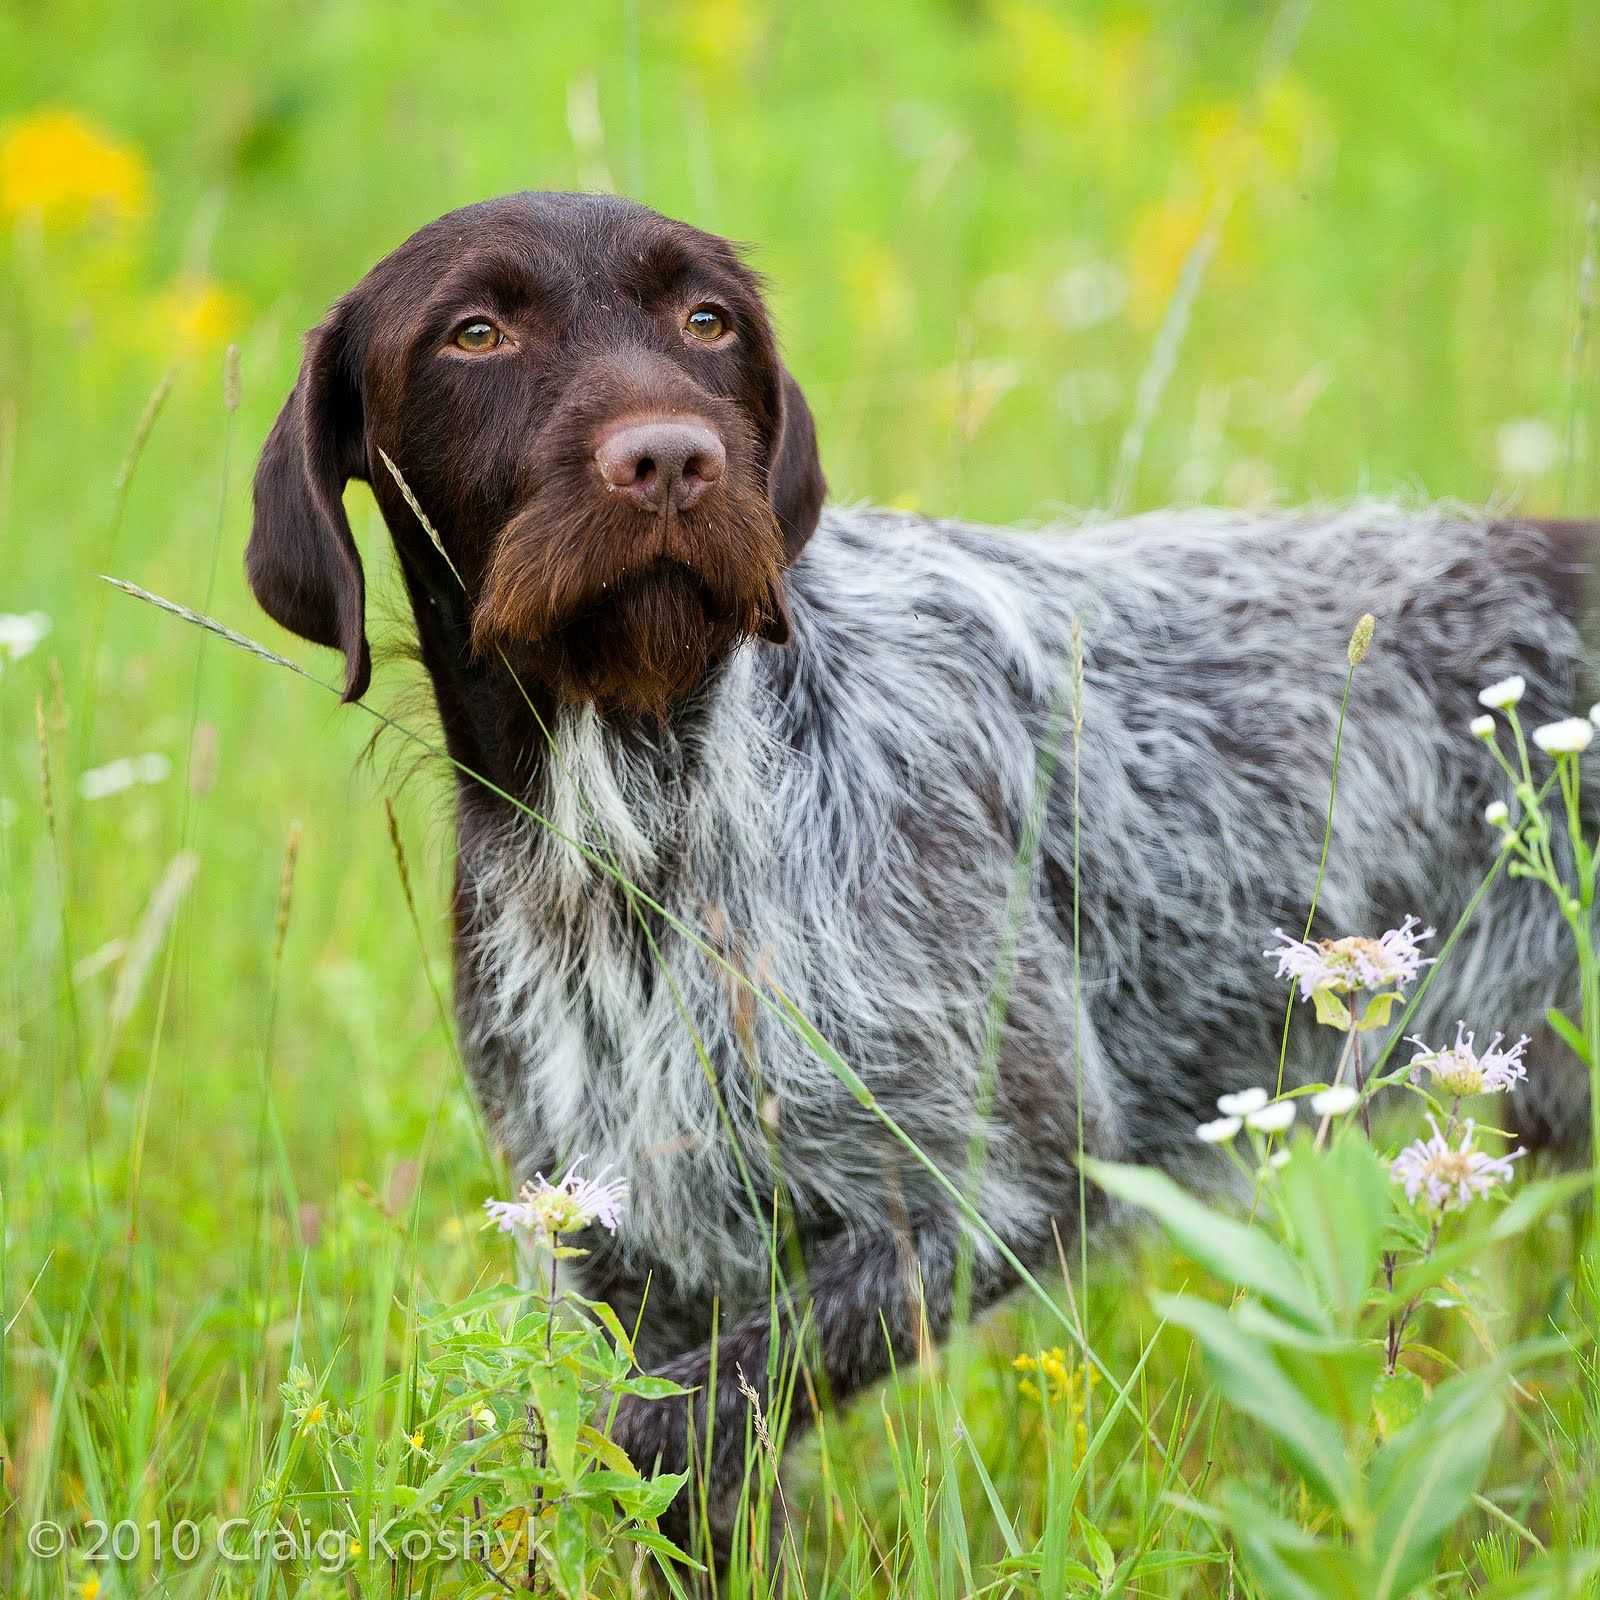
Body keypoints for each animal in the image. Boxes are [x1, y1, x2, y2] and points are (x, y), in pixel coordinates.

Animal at [243, 190, 1593, 1561]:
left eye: (705, 320)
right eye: (474, 332)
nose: (671, 461)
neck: (645, 807)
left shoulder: (989, 1190)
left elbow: (667, 1431)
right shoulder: (625, 1243)